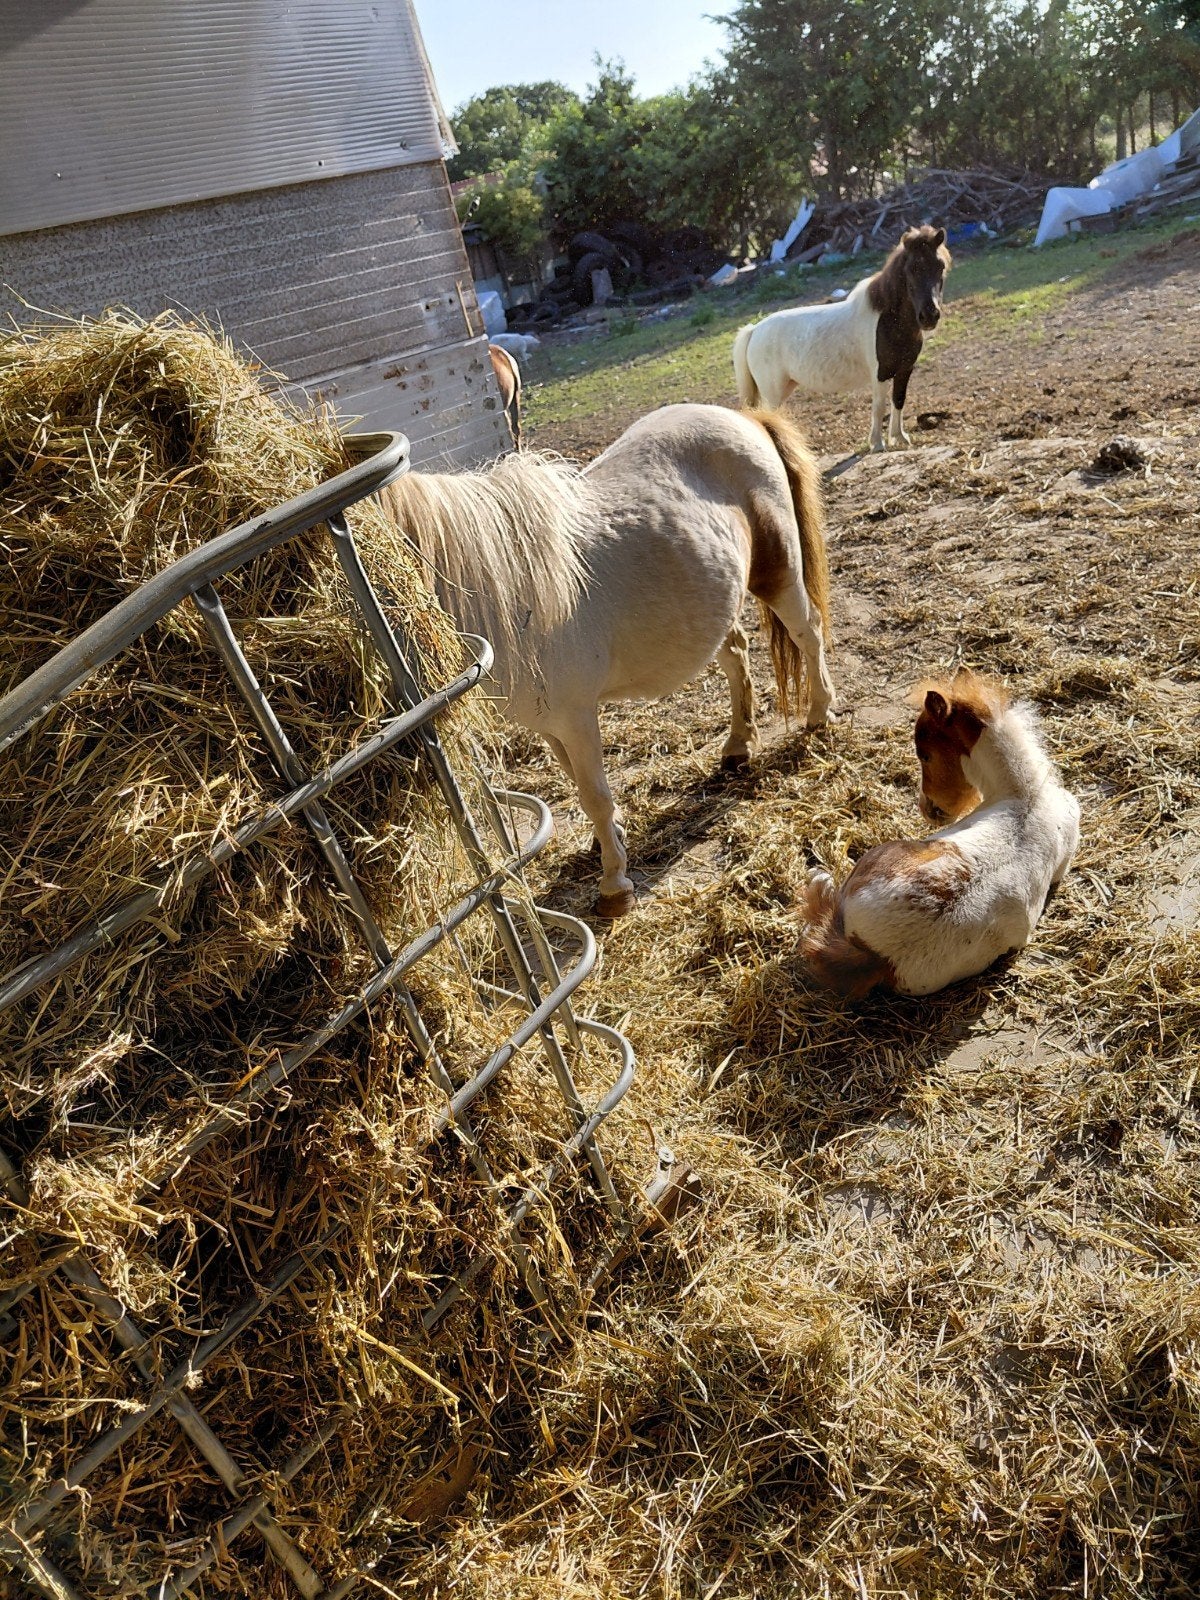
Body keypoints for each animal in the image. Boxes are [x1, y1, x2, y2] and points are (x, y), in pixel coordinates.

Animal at [379, 402, 837, 917]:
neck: (510, 594)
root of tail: (745, 417)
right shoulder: (548, 725)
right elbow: (577, 785)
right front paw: (609, 840)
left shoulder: (577, 718)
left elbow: (593, 795)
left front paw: (614, 882)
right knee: (736, 656)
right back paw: (738, 746)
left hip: (778, 575)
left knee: (808, 634)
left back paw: (819, 715)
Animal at [733, 225, 952, 452]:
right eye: (912, 269)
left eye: (940, 266)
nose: (929, 316)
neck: (887, 318)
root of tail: (754, 330)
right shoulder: (880, 374)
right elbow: (879, 406)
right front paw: (877, 444)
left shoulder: (904, 369)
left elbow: (898, 400)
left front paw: (899, 437)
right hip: (772, 392)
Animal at [799, 669, 1079, 997]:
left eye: (925, 753)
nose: (928, 809)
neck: (1028, 793)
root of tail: (878, 954)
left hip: (877, 855)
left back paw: (820, 876)